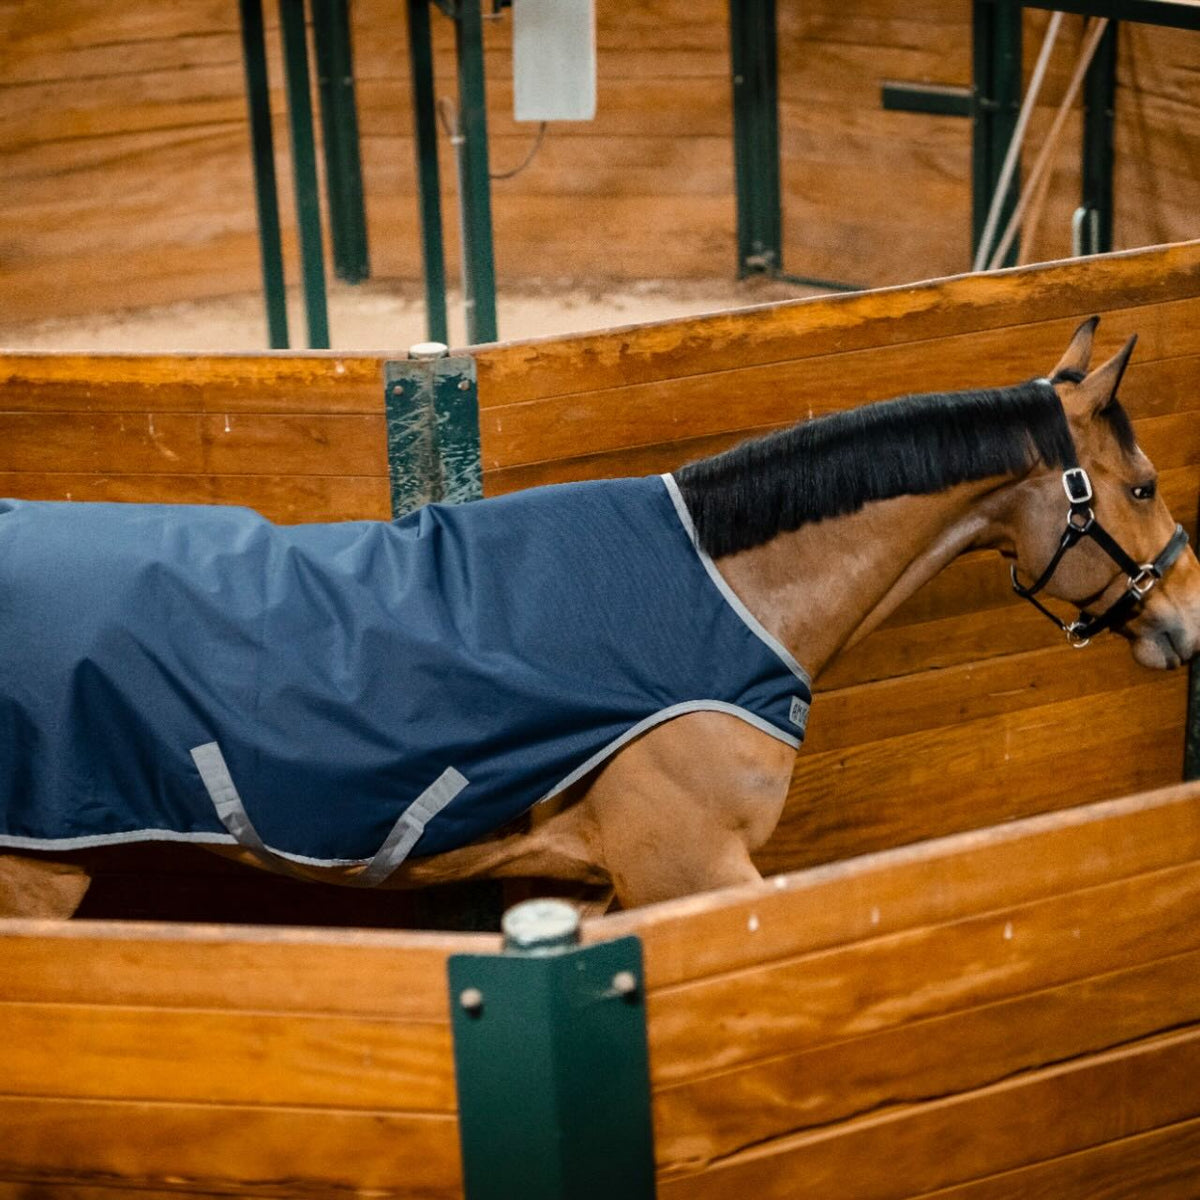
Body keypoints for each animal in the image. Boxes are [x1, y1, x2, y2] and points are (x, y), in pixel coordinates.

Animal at [2, 317, 1199, 920]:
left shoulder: (591, 887)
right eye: (1141, 486)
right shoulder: (691, 874)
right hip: (38, 879)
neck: (730, 591)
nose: (1187, 615)